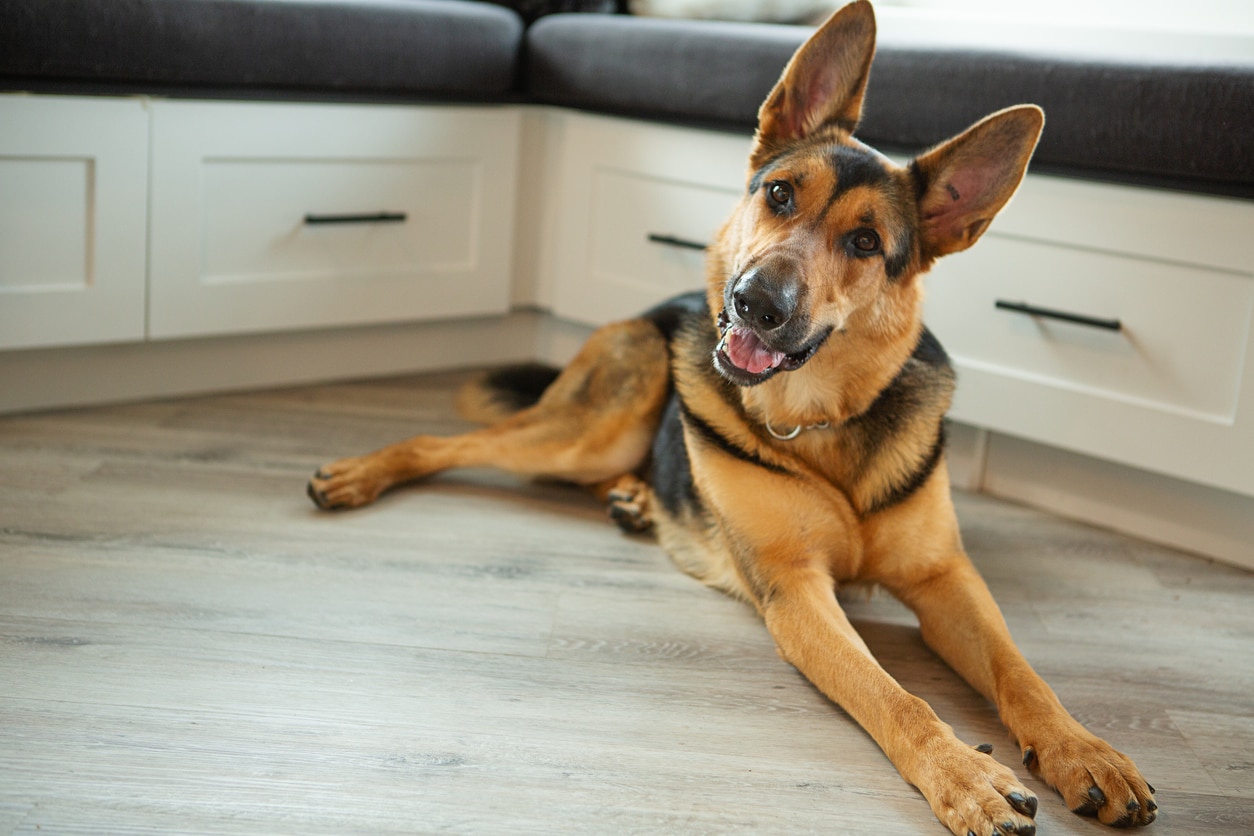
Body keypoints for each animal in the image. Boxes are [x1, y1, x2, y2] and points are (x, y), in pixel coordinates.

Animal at [308, 4, 1158, 832]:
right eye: (779, 194)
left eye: (865, 241)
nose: (754, 303)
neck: (822, 422)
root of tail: (654, 308)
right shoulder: (797, 593)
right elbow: (895, 695)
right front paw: (967, 776)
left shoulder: (944, 578)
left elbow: (1023, 671)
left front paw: (1084, 749)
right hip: (592, 429)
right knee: (448, 441)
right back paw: (360, 473)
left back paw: (638, 500)